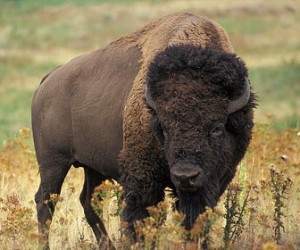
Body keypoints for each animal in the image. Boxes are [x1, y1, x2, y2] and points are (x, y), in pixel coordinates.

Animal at [31, 12, 255, 249]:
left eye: (217, 128)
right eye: (163, 128)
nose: (185, 176)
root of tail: (48, 80)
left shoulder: (214, 181)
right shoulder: (143, 181)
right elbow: (142, 220)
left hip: (92, 167)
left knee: (88, 202)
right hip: (53, 163)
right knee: (45, 202)